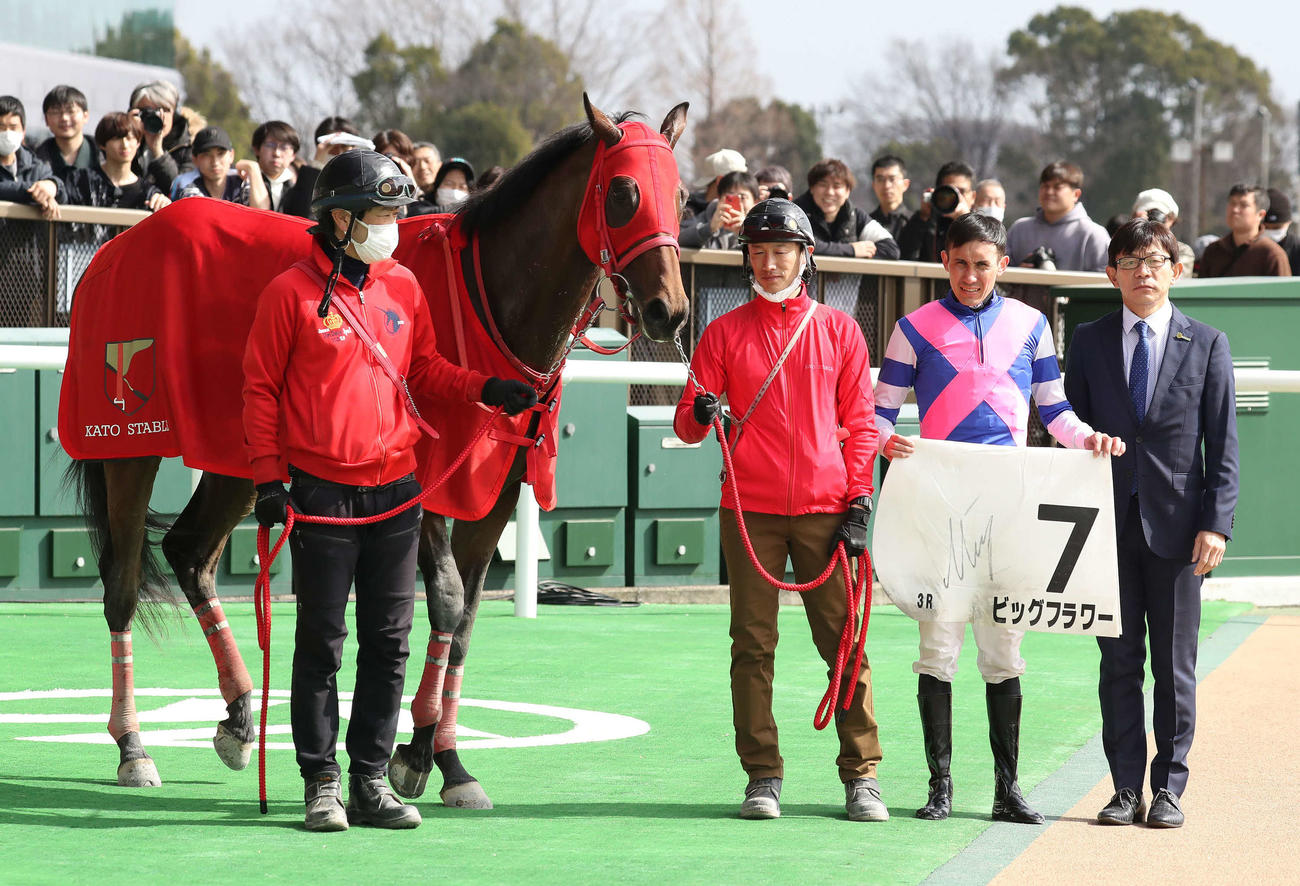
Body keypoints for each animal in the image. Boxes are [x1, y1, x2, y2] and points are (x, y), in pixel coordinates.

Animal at [62, 96, 690, 801]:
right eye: (622, 192)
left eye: (678, 194)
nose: (668, 310)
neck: (487, 303)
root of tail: (118, 247)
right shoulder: (421, 486)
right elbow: (445, 599)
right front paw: (420, 754)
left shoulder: (498, 490)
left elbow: (465, 620)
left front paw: (444, 758)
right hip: (128, 443)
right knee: (122, 584)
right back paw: (133, 745)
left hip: (242, 458)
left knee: (190, 552)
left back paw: (239, 714)